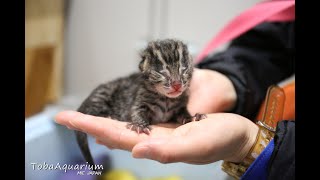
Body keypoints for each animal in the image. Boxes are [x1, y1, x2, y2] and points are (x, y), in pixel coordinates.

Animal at [74, 38, 206, 167]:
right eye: (161, 71)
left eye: (183, 69)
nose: (177, 84)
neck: (166, 99)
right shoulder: (139, 99)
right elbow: (136, 111)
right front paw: (140, 125)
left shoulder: (180, 106)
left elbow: (183, 113)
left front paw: (193, 117)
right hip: (102, 95)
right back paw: (109, 116)